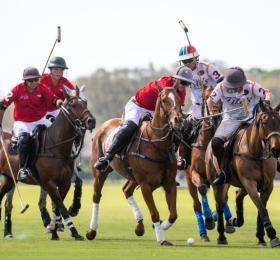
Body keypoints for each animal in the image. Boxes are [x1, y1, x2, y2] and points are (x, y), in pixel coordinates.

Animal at [0, 87, 95, 240]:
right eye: (73, 105)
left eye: (85, 103)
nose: (91, 121)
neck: (57, 146)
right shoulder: (49, 182)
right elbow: (60, 206)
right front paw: (73, 231)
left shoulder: (65, 182)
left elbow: (57, 206)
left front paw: (54, 230)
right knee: (8, 202)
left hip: (9, 179)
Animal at [86, 85, 184, 246]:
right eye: (164, 100)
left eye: (179, 99)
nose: (178, 120)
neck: (156, 144)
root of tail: (103, 126)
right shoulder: (145, 185)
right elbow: (154, 213)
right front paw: (161, 239)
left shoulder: (169, 183)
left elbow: (173, 214)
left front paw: (160, 227)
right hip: (101, 172)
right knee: (96, 196)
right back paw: (91, 231)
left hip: (132, 176)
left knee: (126, 190)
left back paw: (139, 226)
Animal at [205, 101, 280, 248]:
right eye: (264, 122)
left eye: (279, 121)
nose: (276, 149)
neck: (257, 152)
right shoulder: (249, 182)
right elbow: (262, 209)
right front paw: (273, 235)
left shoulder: (268, 185)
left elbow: (261, 209)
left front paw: (261, 237)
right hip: (218, 183)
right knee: (220, 204)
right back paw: (222, 236)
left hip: (235, 183)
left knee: (237, 195)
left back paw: (236, 220)